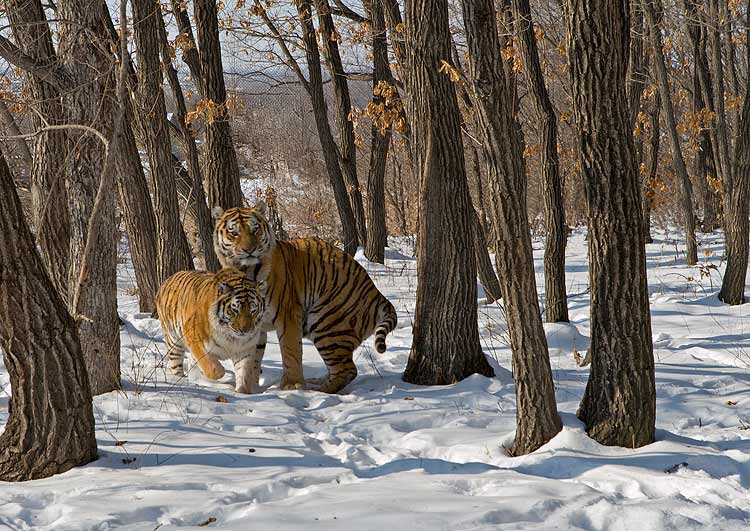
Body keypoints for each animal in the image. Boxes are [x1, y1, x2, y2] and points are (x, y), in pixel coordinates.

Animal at [155, 266, 268, 394]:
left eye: (253, 310)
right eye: (235, 310)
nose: (244, 330)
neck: (231, 337)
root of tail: (167, 280)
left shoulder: (245, 349)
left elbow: (243, 373)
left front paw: (242, 392)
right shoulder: (195, 338)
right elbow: (211, 366)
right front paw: (221, 374)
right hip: (174, 342)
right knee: (176, 366)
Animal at [212, 204, 400, 394]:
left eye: (255, 229)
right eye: (234, 233)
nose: (249, 250)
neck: (246, 270)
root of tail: (378, 295)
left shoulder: (287, 315)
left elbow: (290, 351)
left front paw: (292, 385)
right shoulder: (252, 324)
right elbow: (252, 357)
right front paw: (250, 389)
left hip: (326, 323)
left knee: (347, 370)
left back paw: (318, 390)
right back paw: (316, 382)